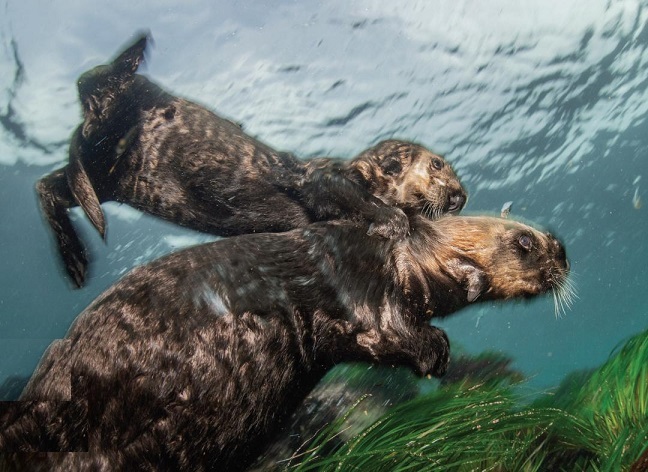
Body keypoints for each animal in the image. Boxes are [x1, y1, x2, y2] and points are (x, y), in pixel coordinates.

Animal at [35, 33, 466, 288]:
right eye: (438, 165)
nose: (460, 195)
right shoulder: (323, 176)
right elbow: (348, 193)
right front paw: (391, 220)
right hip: (115, 120)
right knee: (93, 95)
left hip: (109, 176)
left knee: (49, 183)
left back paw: (74, 259)